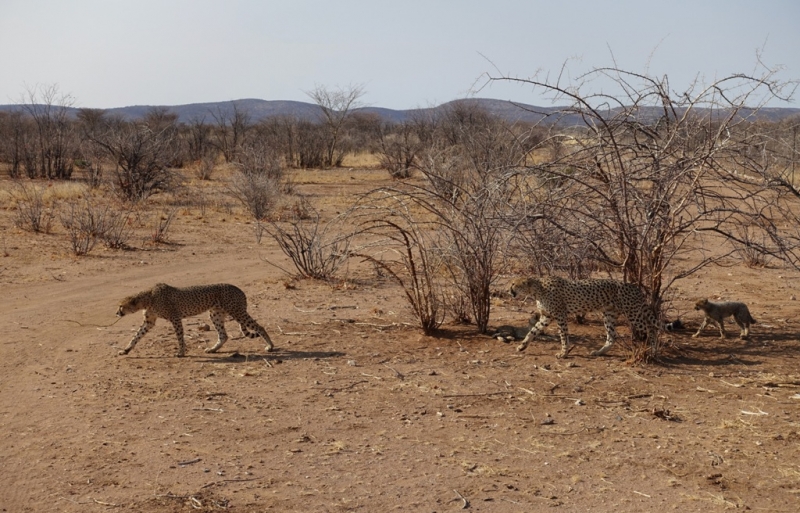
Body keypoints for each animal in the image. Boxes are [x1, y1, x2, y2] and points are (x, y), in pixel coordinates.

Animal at [114, 282, 274, 358]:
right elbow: (136, 336)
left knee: (259, 327)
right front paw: (126, 350)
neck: (147, 298)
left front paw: (181, 352)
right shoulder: (149, 322)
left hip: (236, 311)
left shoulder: (175, 318)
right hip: (215, 314)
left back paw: (270, 346)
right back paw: (213, 349)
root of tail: (239, 289)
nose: (117, 313)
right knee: (223, 335)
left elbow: (180, 337)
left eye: (121, 306)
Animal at [510, 276, 660, 356]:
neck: (537, 290)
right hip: (609, 315)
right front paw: (522, 346)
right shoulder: (546, 317)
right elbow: (532, 331)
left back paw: (653, 351)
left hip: (633, 313)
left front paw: (563, 353)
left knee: (652, 328)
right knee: (612, 336)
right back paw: (599, 352)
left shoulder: (560, 315)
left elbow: (563, 335)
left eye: (514, 284)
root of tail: (635, 287)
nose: (509, 290)